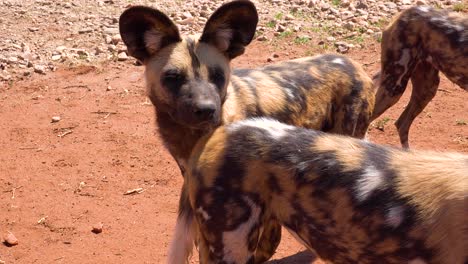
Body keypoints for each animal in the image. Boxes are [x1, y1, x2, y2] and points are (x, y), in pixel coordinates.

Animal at [119, 0, 374, 262]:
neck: (190, 137)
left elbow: (267, 242)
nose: (206, 109)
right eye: (173, 77)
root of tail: (354, 65)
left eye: (218, 76)